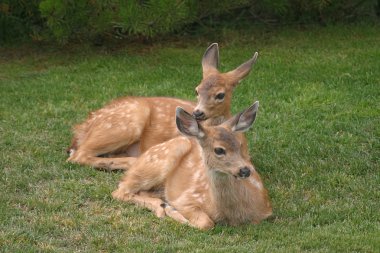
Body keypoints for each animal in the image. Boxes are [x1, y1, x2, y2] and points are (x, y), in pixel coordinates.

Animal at [67, 43, 258, 171]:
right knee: (78, 155)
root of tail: (81, 129)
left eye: (220, 95)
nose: (197, 112)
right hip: (126, 121)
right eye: (196, 90)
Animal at [111, 102, 272, 230]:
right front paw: (172, 211)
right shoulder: (186, 199)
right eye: (219, 150)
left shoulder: (266, 208)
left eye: (239, 145)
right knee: (120, 191)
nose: (245, 170)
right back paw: (161, 207)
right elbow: (206, 223)